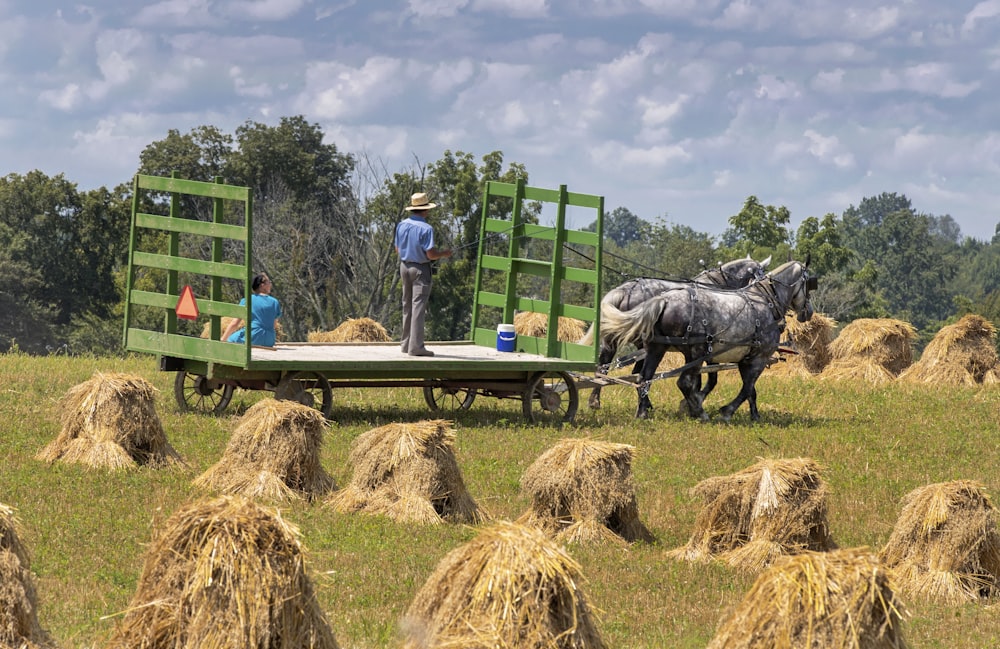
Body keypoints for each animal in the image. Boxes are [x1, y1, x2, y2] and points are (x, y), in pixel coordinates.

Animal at [592, 258, 812, 420]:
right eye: (756, 273)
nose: (808, 312)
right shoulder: (748, 356)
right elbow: (736, 385)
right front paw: (714, 408)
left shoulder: (723, 355)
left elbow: (732, 385)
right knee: (655, 376)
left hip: (640, 344)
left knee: (621, 371)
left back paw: (622, 406)